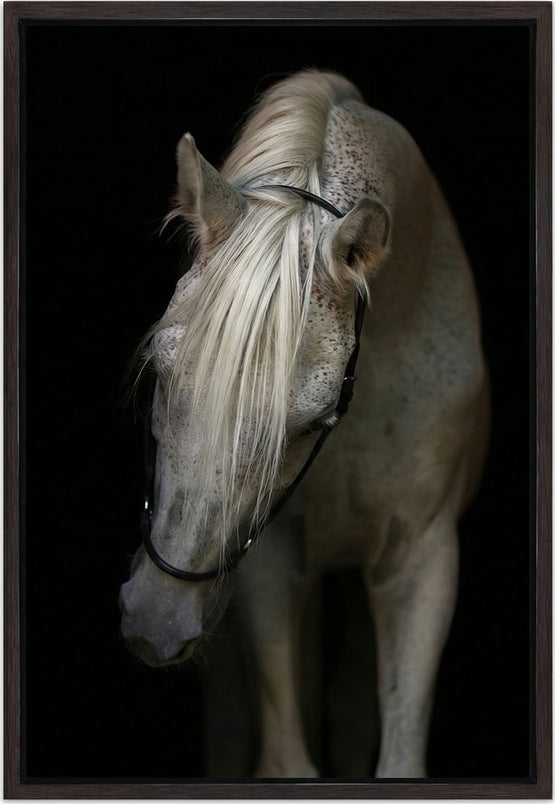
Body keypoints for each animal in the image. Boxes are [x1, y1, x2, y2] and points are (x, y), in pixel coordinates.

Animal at [119, 69, 489, 778]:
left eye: (314, 420)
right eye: (160, 370)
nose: (155, 619)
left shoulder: (423, 560)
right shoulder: (271, 560)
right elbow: (286, 757)